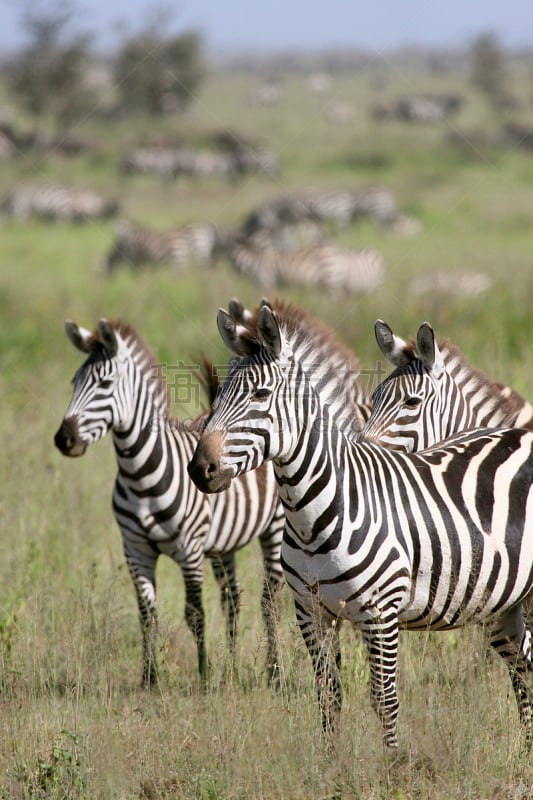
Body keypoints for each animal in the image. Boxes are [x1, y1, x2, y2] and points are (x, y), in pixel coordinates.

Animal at [53, 318, 284, 688]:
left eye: (104, 384)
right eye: (74, 382)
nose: (65, 439)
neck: (139, 474)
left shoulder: (189, 550)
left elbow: (194, 614)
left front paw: (204, 677)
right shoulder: (136, 551)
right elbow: (147, 615)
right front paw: (149, 679)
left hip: (273, 528)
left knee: (270, 600)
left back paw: (273, 675)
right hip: (223, 544)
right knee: (232, 599)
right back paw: (233, 671)